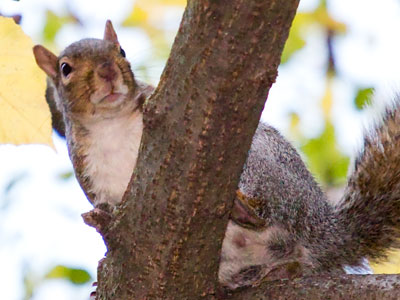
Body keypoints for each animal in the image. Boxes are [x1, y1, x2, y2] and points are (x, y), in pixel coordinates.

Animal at [32, 19, 400, 290]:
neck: (112, 124)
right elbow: (107, 209)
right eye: (65, 69)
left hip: (264, 166)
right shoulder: (92, 178)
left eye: (121, 50)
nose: (108, 70)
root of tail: (327, 230)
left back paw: (248, 211)